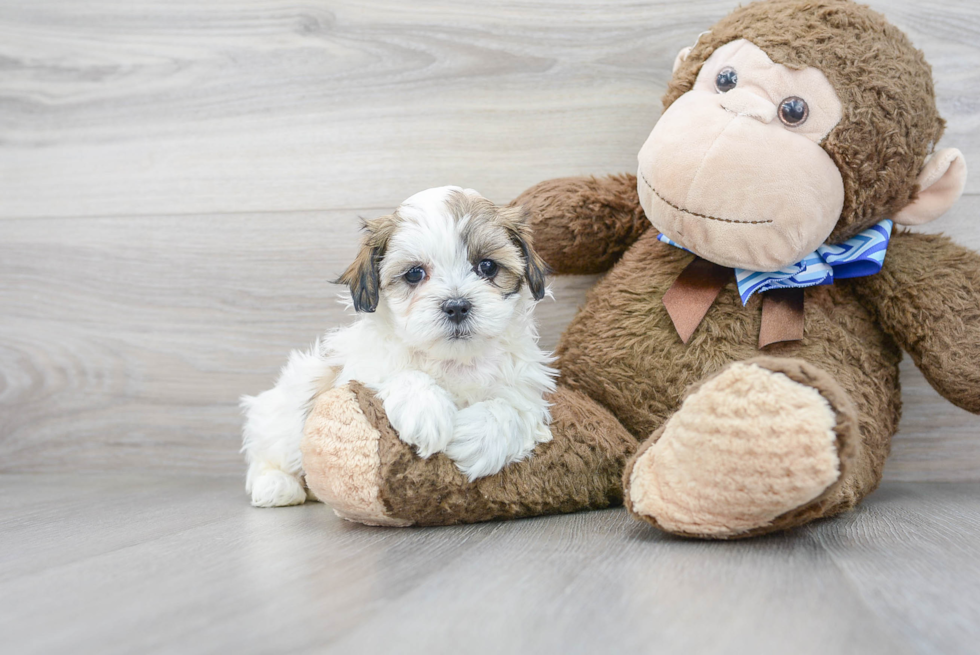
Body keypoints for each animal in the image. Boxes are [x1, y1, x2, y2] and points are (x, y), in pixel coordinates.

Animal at [240, 187, 556, 510]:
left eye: (487, 266)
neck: (452, 360)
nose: (456, 305)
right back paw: (275, 485)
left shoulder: (525, 387)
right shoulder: (359, 372)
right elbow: (398, 375)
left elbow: (514, 408)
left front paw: (479, 437)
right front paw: (425, 409)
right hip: (284, 414)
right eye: (414, 274)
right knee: (267, 454)